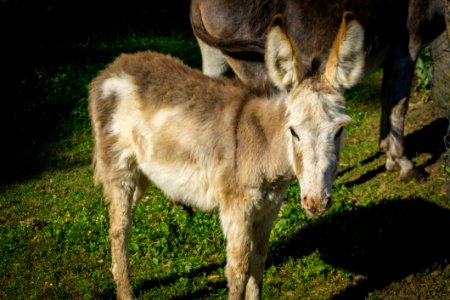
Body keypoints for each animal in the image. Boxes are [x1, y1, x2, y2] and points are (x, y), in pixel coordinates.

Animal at [89, 13, 366, 298]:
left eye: (339, 130)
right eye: (294, 131)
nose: (317, 203)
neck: (264, 144)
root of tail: (114, 67)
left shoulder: (269, 207)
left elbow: (258, 262)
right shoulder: (237, 208)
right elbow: (238, 270)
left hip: (141, 174)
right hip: (120, 169)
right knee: (120, 228)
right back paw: (126, 292)